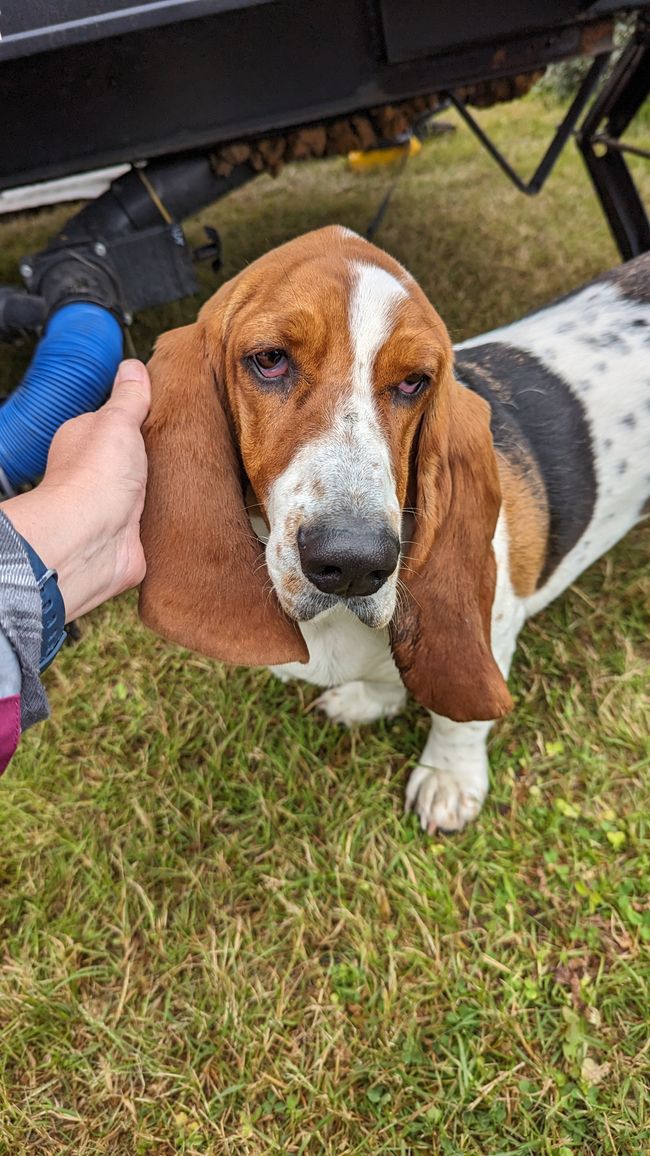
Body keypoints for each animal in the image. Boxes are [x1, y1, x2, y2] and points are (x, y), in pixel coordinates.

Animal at [137, 227, 647, 832]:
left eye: (413, 382)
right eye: (269, 360)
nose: (356, 564)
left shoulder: (496, 624)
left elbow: (459, 718)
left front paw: (449, 778)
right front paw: (368, 699)